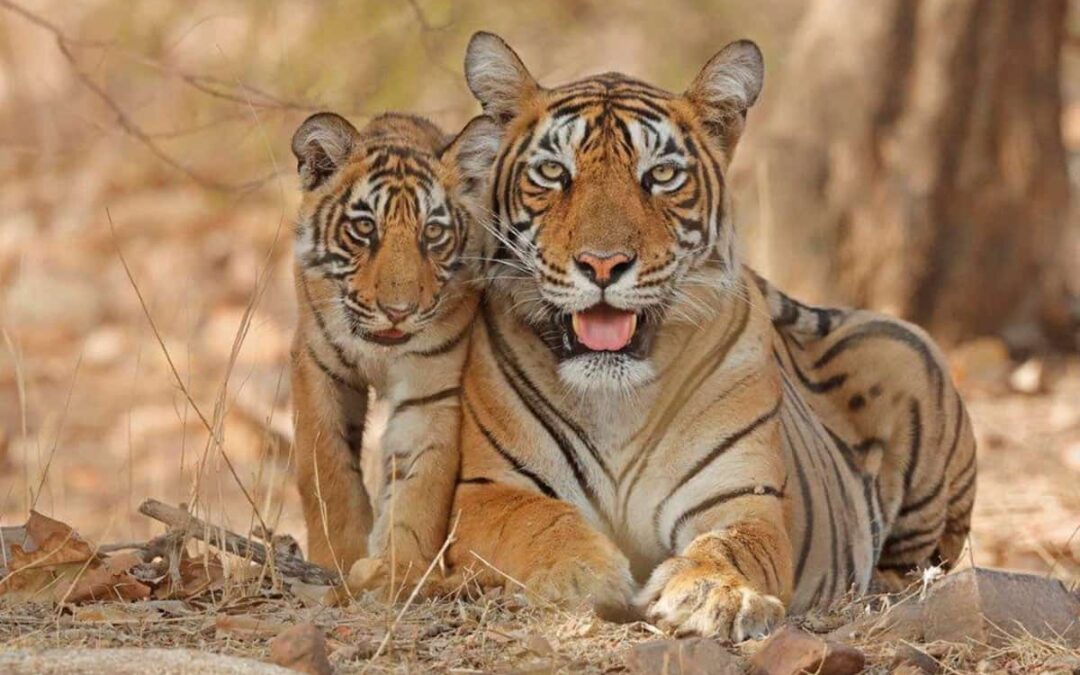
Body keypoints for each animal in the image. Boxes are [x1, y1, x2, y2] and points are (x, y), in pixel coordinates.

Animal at [289, 111, 497, 579]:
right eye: (365, 227)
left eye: (433, 232)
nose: (398, 311)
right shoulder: (319, 369)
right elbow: (326, 468)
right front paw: (338, 558)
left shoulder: (431, 388)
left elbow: (420, 487)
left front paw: (400, 570)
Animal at [442, 32, 977, 640]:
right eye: (554, 172)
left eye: (661, 176)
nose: (603, 264)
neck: (615, 398)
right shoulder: (487, 491)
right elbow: (536, 523)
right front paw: (582, 573)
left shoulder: (742, 498)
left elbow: (729, 546)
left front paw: (711, 594)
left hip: (904, 347)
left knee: (918, 564)